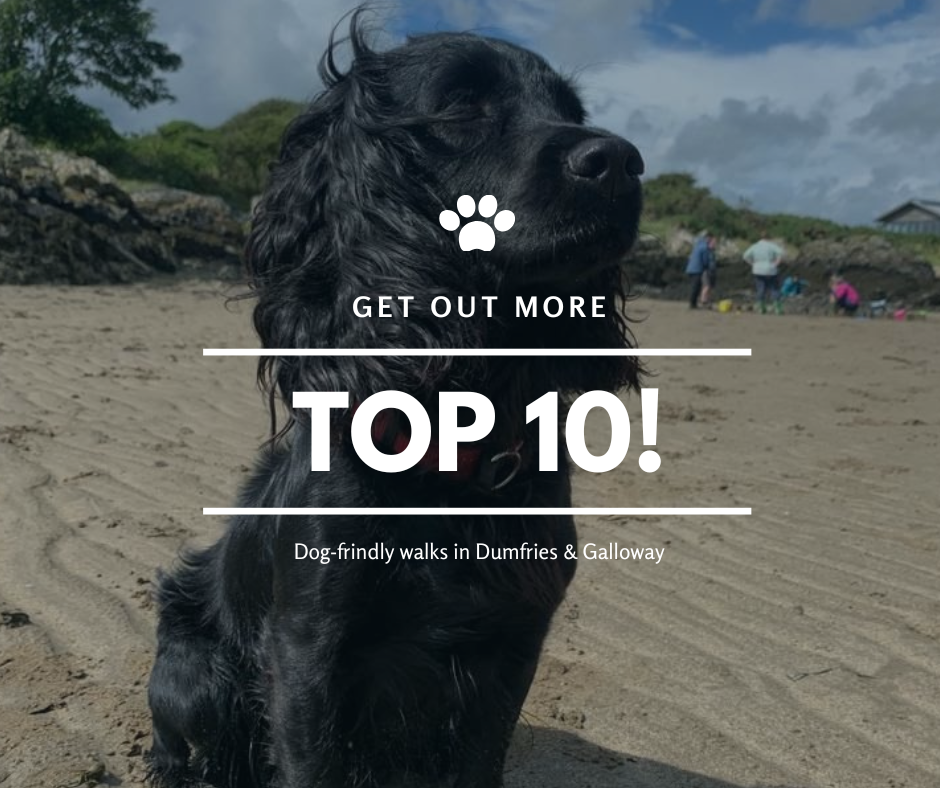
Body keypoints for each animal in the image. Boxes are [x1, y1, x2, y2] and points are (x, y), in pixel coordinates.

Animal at [149, 12, 648, 788]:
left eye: (571, 110)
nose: (622, 162)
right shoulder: (306, 649)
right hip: (196, 676)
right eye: (460, 106)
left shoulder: (513, 642)